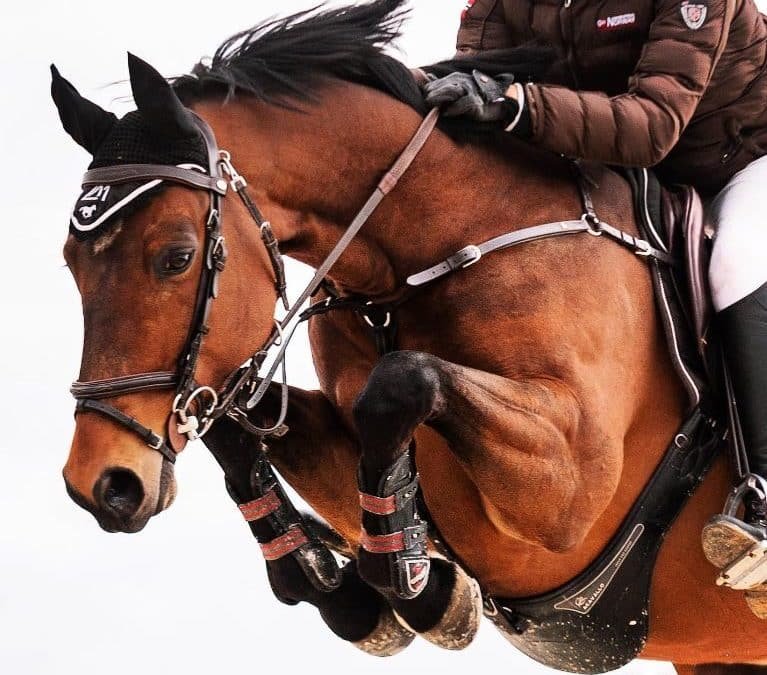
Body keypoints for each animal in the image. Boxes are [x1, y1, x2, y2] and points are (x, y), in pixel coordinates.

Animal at [52, 1, 767, 672]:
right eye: (70, 262)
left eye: (176, 257)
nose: (104, 485)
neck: (436, 243)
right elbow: (244, 421)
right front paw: (343, 586)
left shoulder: (573, 486)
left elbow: (402, 380)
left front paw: (413, 583)